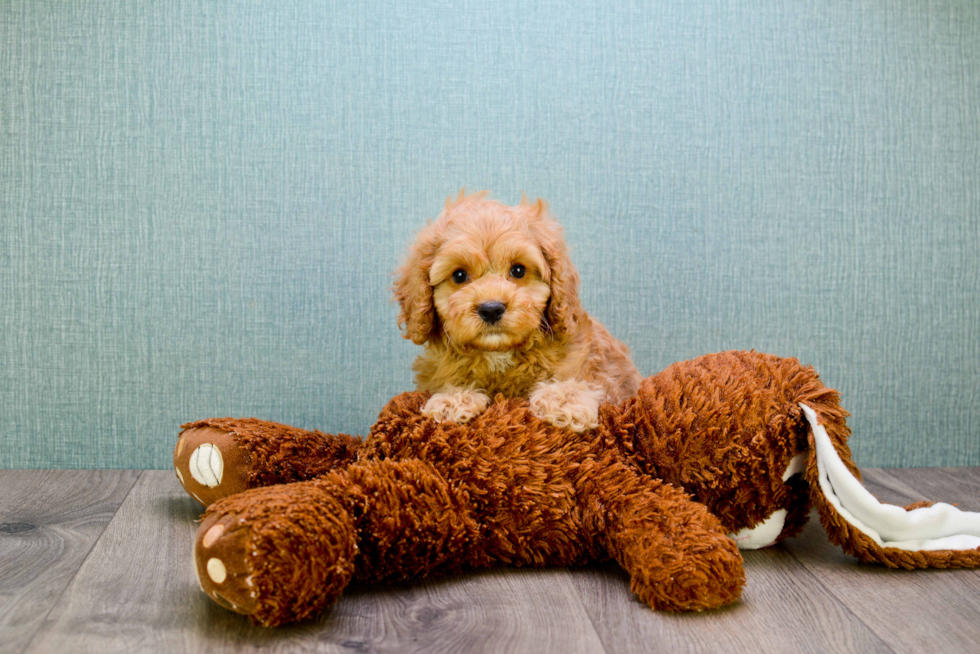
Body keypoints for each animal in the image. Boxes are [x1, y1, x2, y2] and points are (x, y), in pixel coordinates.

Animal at [392, 192, 644, 434]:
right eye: (459, 275)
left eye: (518, 270)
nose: (491, 309)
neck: (500, 354)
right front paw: (451, 400)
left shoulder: (605, 376)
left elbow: (587, 383)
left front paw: (564, 400)